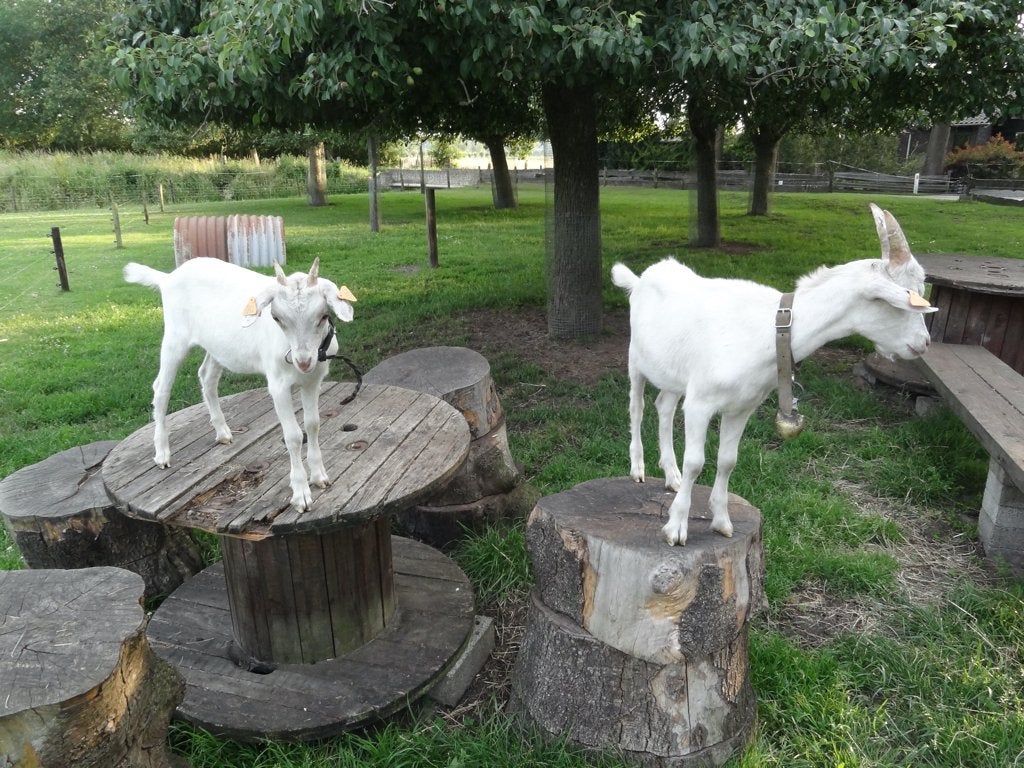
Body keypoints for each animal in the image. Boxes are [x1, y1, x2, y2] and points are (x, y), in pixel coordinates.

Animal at [123, 256, 355, 512]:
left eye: (323, 316)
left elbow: (313, 425)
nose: (303, 362)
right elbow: (293, 435)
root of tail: (168, 277)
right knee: (161, 389)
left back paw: (222, 431)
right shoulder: (278, 385)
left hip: (215, 345)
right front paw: (301, 493)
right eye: (277, 318)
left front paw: (319, 476)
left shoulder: (313, 380)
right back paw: (162, 453)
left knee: (207, 376)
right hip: (175, 337)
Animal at [611, 203, 936, 546]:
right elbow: (696, 462)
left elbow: (728, 460)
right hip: (636, 359)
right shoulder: (701, 402)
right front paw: (676, 527)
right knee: (637, 407)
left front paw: (722, 521)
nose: (924, 343)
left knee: (664, 406)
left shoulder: (742, 406)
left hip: (673, 373)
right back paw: (638, 468)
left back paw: (671, 475)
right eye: (903, 299)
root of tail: (641, 278)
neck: (771, 329)